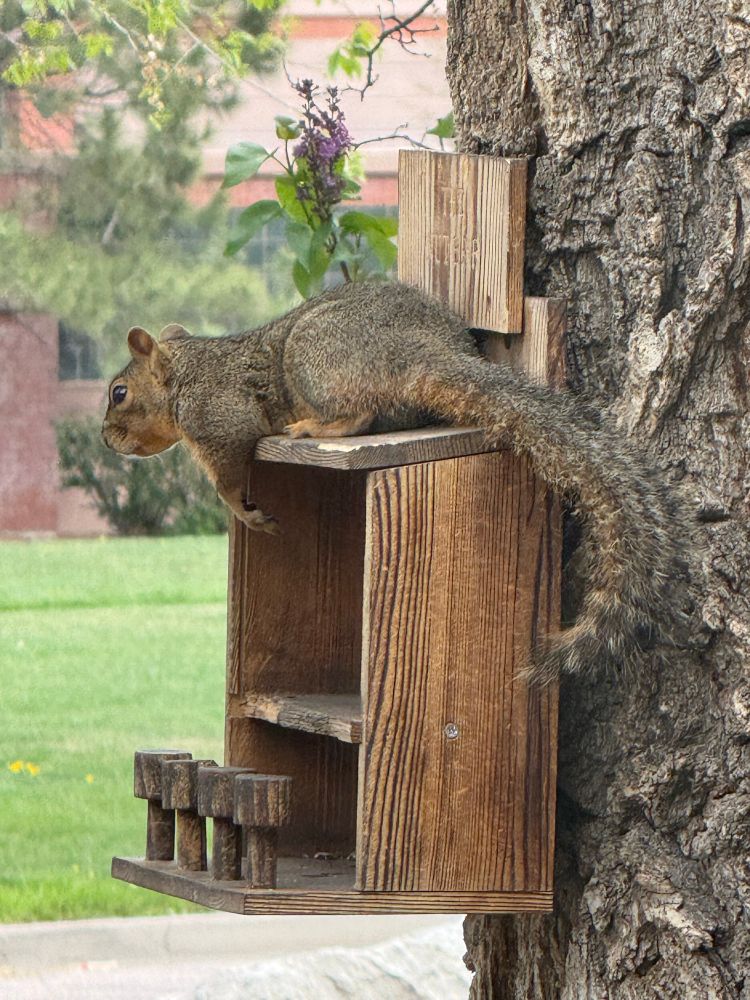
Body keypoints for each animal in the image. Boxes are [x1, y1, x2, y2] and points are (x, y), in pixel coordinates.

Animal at [102, 280, 689, 680]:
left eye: (119, 393)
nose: (107, 439)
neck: (189, 370)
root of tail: (422, 354)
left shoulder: (218, 415)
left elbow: (228, 466)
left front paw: (240, 509)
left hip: (314, 355)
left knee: (358, 413)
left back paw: (315, 425)